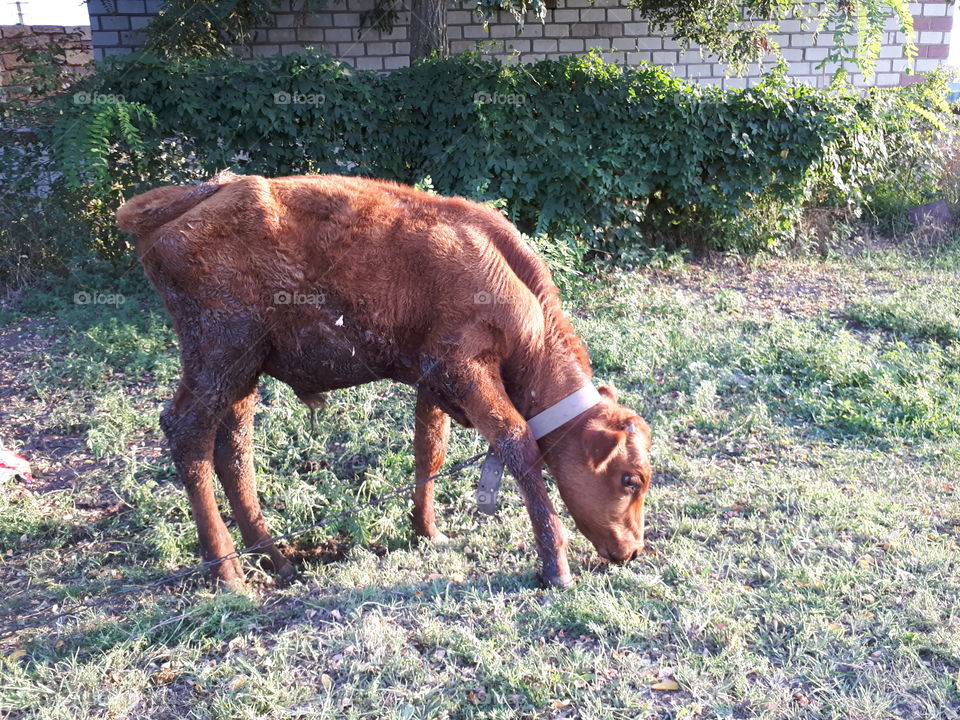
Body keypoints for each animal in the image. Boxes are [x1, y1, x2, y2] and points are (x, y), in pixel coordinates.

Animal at [116, 172, 648, 588]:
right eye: (631, 479)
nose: (634, 550)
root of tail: (204, 193)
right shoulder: (467, 370)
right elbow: (518, 443)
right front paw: (555, 566)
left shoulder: (434, 381)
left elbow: (429, 450)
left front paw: (428, 531)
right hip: (218, 356)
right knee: (188, 435)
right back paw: (227, 573)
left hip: (243, 373)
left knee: (232, 452)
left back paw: (275, 559)